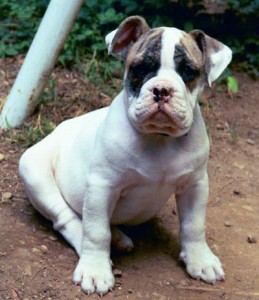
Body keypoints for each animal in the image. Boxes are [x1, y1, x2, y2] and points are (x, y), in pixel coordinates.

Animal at [19, 16, 233, 296]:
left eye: (188, 71)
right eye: (140, 68)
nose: (162, 89)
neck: (159, 138)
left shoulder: (195, 185)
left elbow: (194, 225)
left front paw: (201, 260)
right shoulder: (102, 186)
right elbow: (96, 232)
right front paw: (95, 270)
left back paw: (119, 237)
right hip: (34, 172)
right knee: (68, 219)